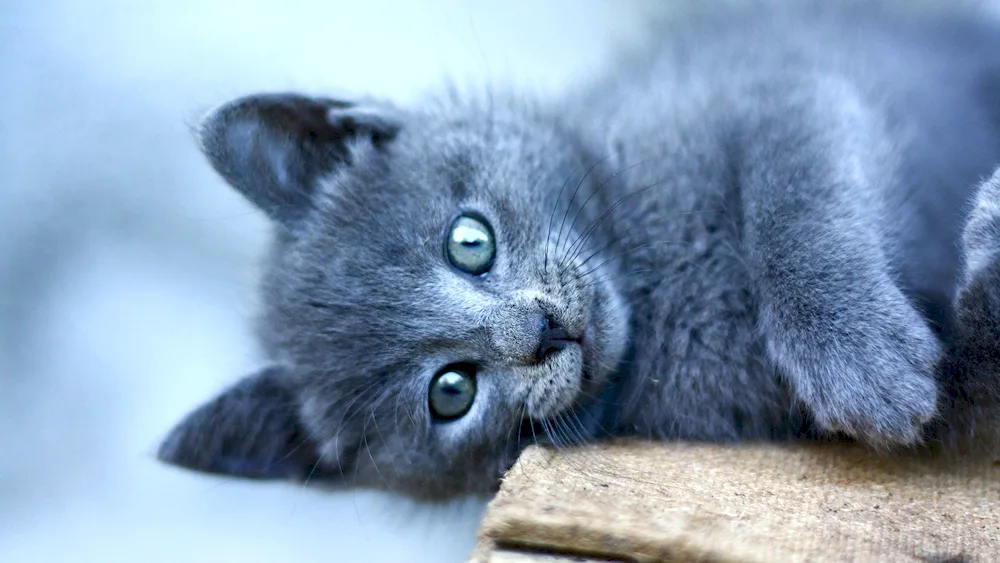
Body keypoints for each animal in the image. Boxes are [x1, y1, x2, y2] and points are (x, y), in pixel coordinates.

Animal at [156, 0, 1000, 502]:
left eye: (469, 240)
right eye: (450, 391)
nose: (541, 331)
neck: (653, 283)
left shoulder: (779, 86)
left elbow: (794, 197)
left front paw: (860, 359)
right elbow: (965, 390)